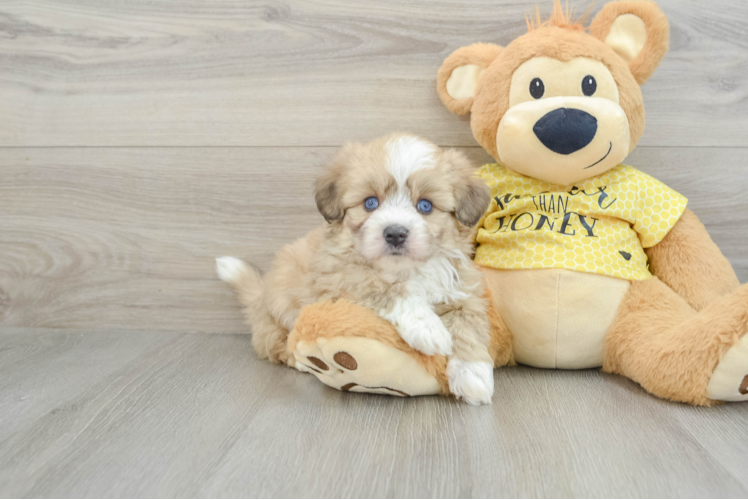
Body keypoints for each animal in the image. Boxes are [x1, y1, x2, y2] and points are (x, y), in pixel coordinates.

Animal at [216, 134, 496, 406]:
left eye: (425, 206)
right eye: (370, 203)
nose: (395, 233)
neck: (406, 269)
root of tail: (260, 293)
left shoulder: (462, 288)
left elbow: (469, 325)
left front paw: (473, 375)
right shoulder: (339, 277)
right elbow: (388, 288)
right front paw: (428, 328)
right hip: (278, 313)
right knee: (276, 344)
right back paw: (304, 362)